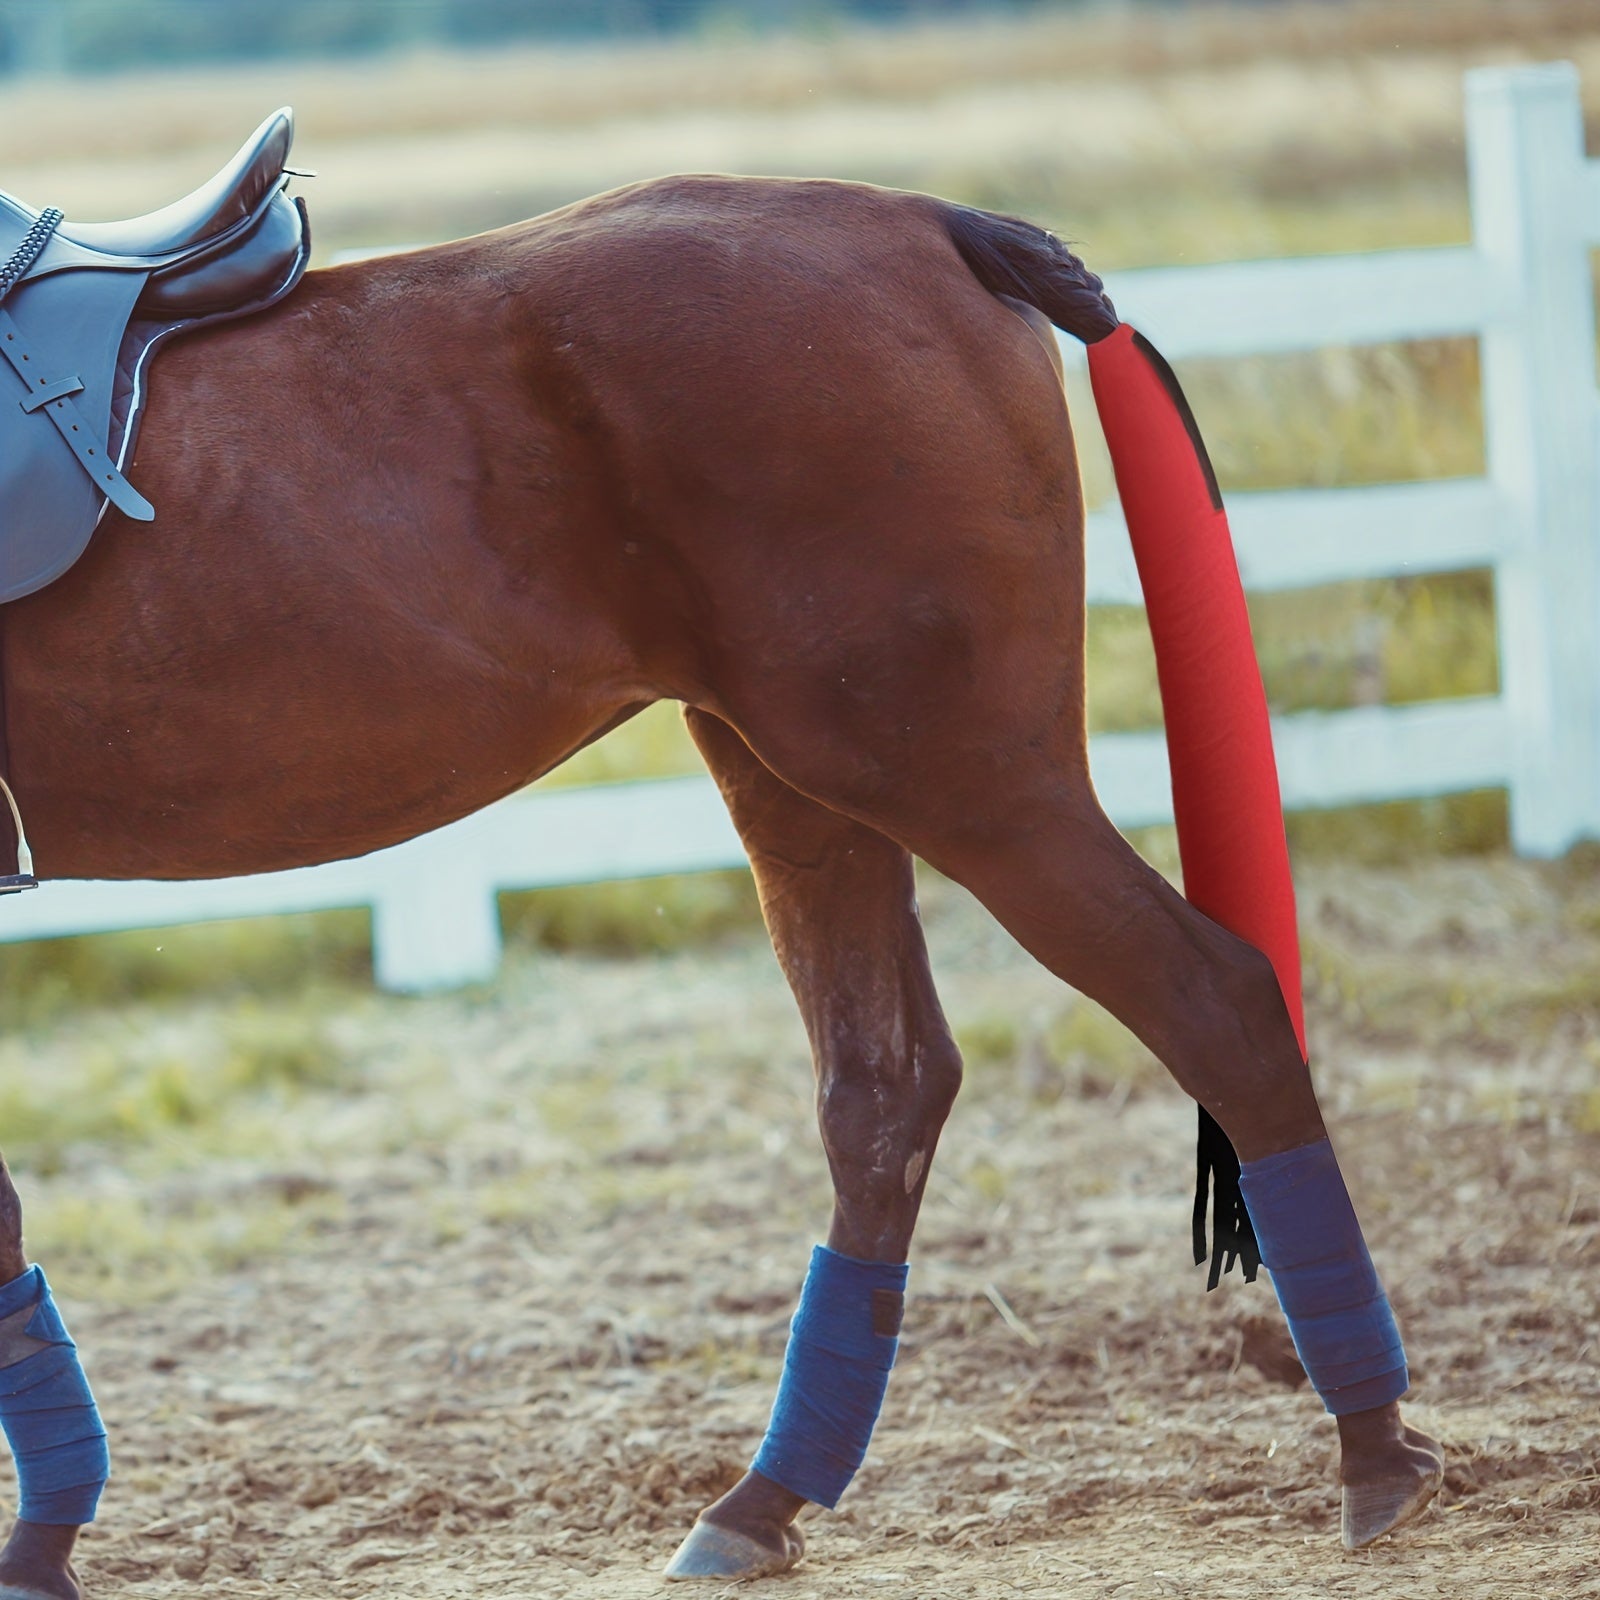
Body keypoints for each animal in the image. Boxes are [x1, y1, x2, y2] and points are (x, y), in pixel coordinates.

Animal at [0, 161, 1445, 1596]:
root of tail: (934, 225)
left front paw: (44, 1536)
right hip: (805, 787)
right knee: (884, 1094)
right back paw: (765, 1499)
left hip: (970, 785)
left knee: (1215, 1004)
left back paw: (1374, 1445)